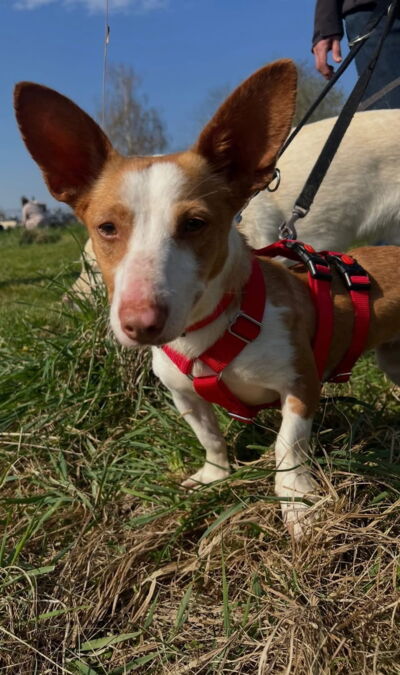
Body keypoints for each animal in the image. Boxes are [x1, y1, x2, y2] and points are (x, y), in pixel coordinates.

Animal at [14, 60, 400, 537]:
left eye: (195, 224)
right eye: (106, 228)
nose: (140, 324)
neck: (208, 330)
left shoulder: (301, 385)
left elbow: (287, 448)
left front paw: (297, 502)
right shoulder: (184, 397)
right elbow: (210, 437)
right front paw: (215, 476)